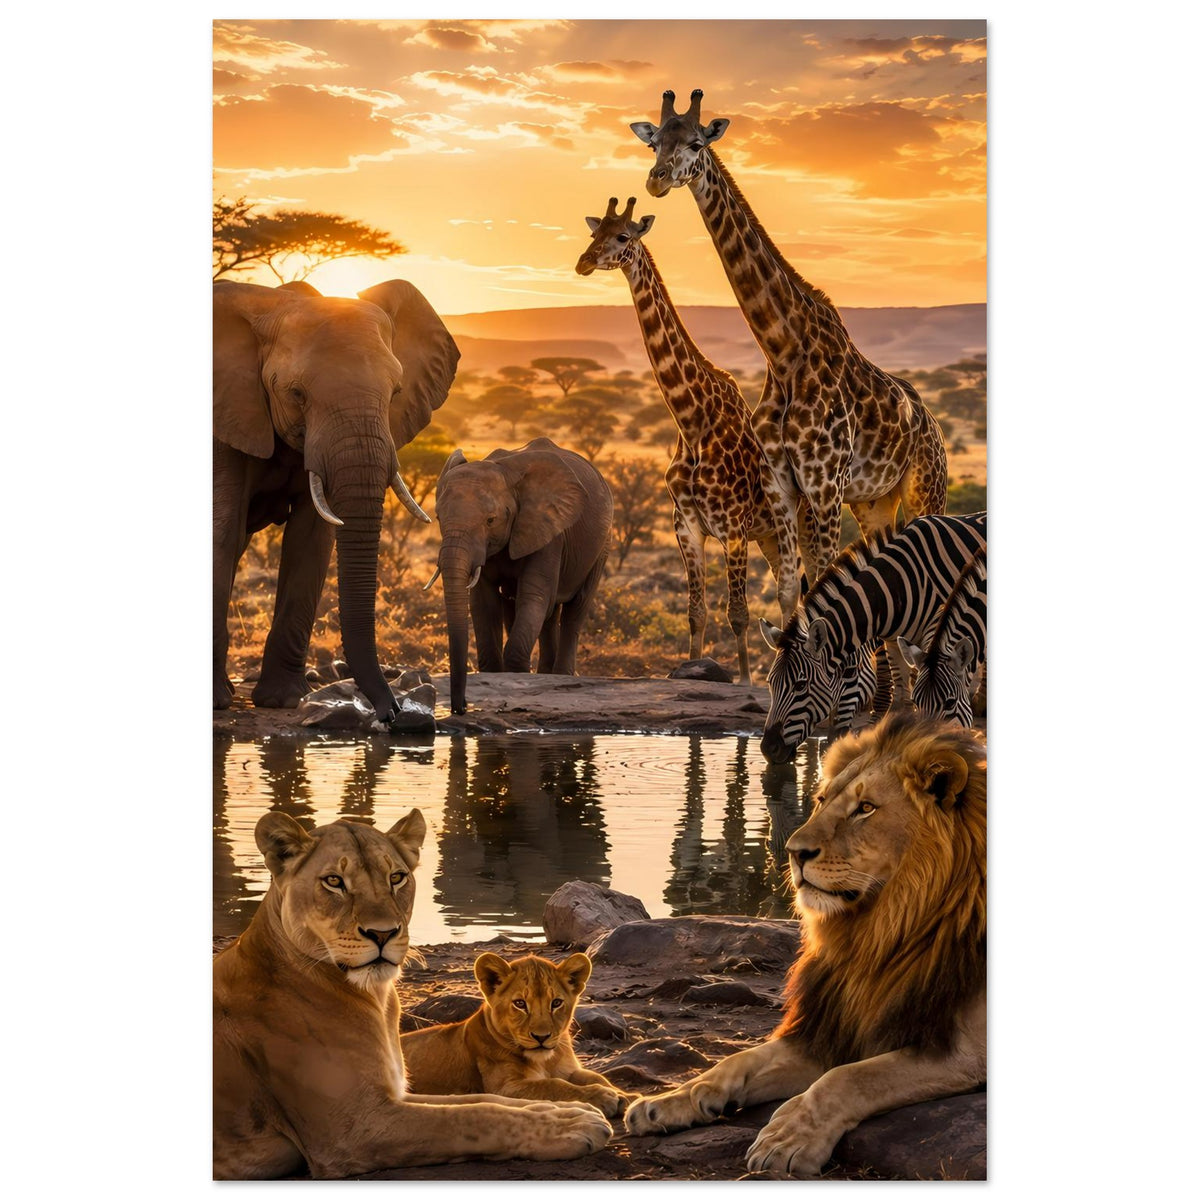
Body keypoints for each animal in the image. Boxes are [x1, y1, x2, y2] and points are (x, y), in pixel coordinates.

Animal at [401, 951, 632, 1117]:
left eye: (556, 1003)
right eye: (520, 1004)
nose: (542, 1037)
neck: (545, 1061)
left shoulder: (569, 1070)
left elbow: (595, 1076)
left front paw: (625, 1095)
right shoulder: (505, 1088)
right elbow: (553, 1085)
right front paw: (602, 1096)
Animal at [625, 712, 986, 1177]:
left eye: (865, 808)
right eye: (821, 800)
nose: (794, 852)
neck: (882, 931)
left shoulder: (966, 1052)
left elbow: (849, 1078)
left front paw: (788, 1138)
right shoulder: (833, 1026)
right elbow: (737, 1060)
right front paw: (669, 1101)